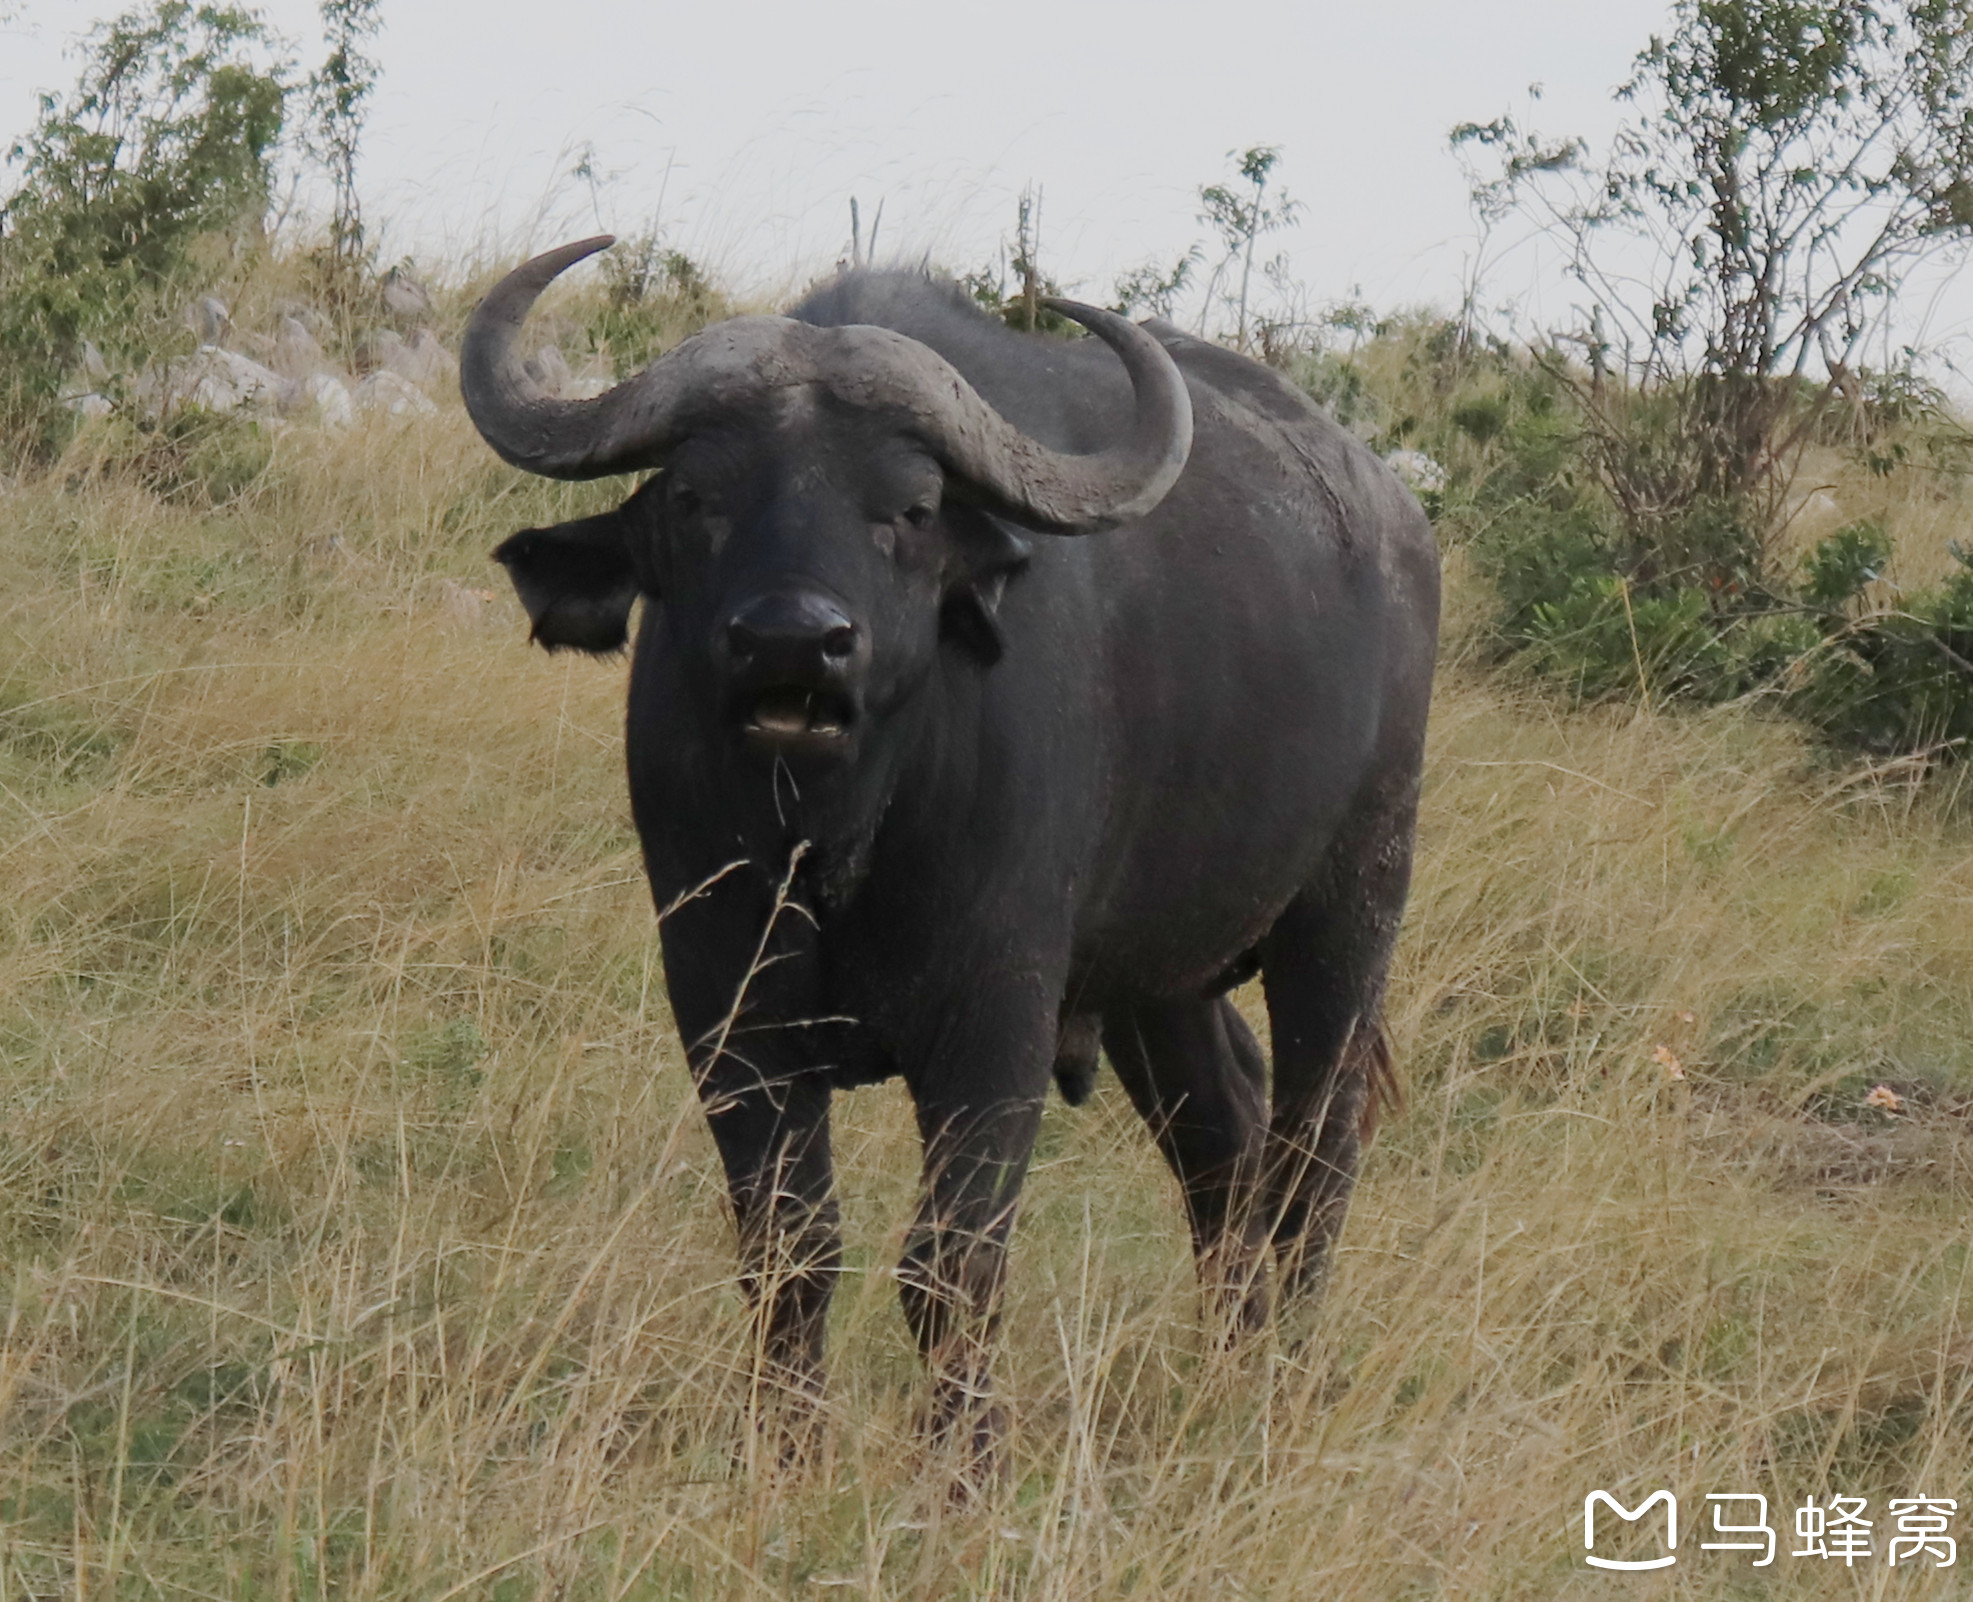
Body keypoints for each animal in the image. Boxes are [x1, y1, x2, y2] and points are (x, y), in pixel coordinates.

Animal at [469, 234, 1444, 1467]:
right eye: (696, 498)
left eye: (912, 506)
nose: (794, 643)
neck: (833, 839)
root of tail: (1394, 518)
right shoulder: (723, 1007)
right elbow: (788, 1247)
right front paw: (785, 1454)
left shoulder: (995, 1019)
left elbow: (949, 1264)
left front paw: (964, 1466)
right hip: (1158, 983)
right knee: (1223, 1140)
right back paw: (1227, 1367)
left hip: (1351, 907)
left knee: (1315, 1155)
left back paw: (1289, 1383)